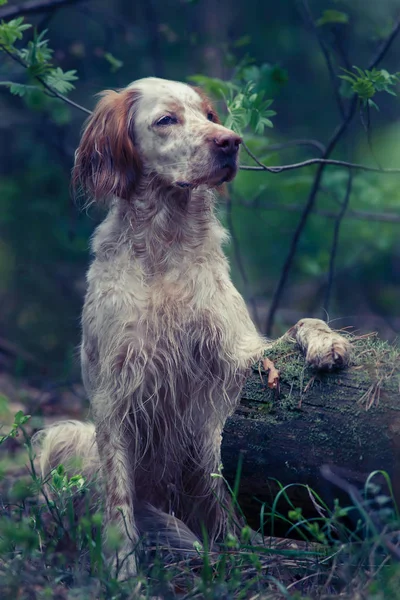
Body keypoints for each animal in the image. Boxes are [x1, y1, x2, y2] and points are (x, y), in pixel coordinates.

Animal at [36, 77, 352, 576]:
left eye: (209, 115)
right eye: (167, 119)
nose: (230, 142)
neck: (165, 243)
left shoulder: (232, 359)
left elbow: (302, 322)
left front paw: (327, 344)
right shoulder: (113, 395)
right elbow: (118, 501)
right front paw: (124, 574)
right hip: (65, 437)